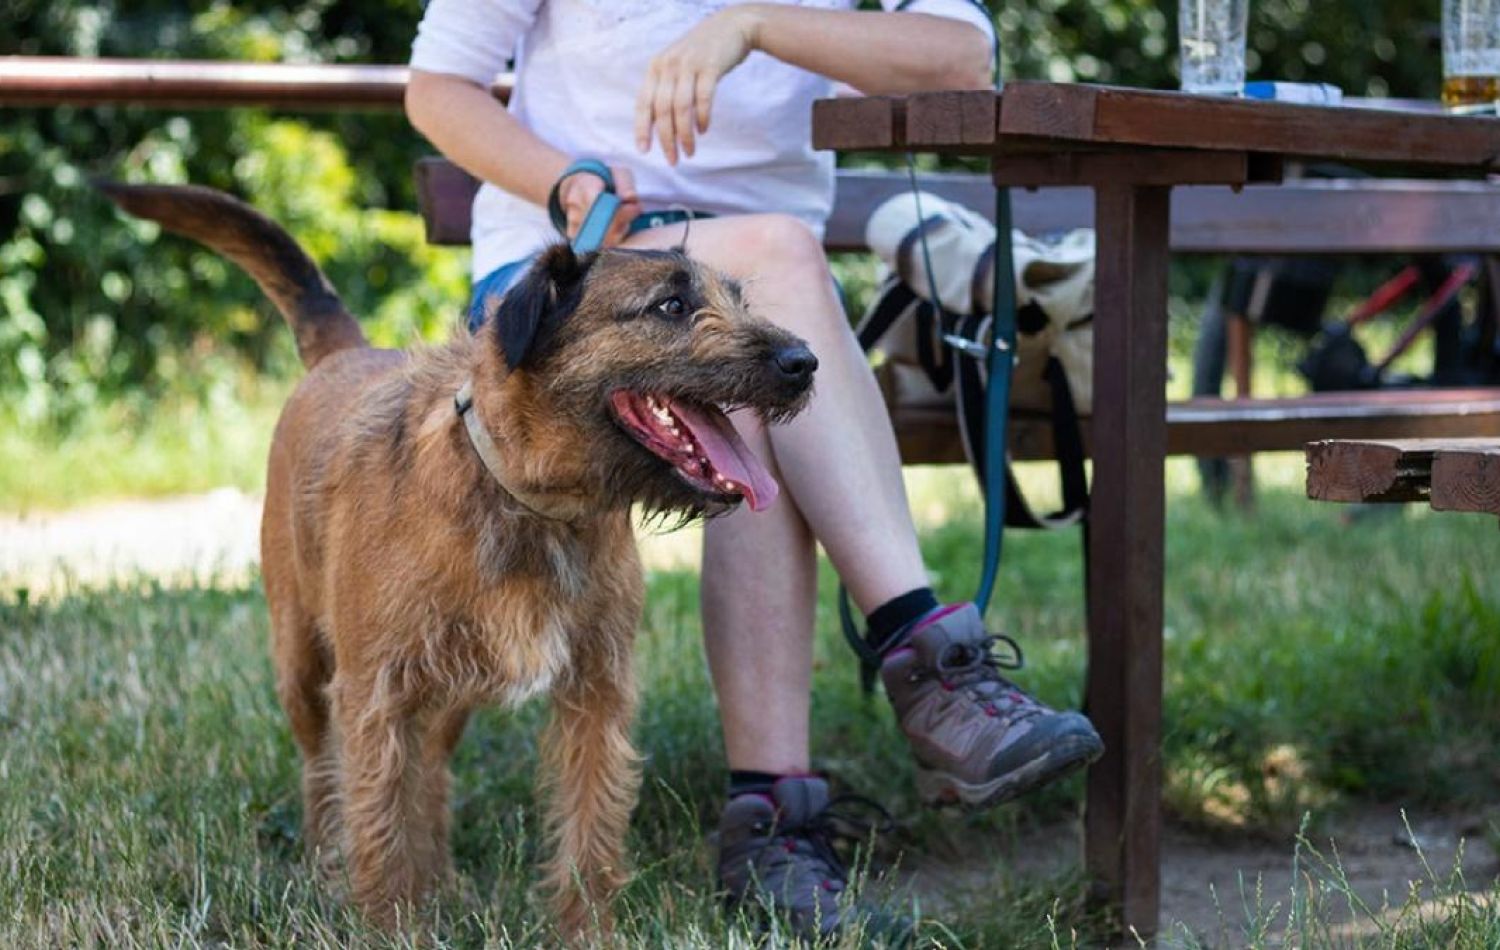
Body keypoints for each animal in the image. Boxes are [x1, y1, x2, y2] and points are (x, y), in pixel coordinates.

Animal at [102, 183, 822, 936]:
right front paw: (389, 928)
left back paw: (440, 879)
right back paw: (331, 862)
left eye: (735, 297)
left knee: (430, 777)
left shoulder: (596, 693)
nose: (803, 361)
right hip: (301, 663)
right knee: (323, 773)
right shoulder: (375, 695)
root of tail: (344, 354)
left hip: (445, 698)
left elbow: (588, 826)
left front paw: (585, 931)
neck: (530, 501)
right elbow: (378, 824)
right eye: (671, 306)